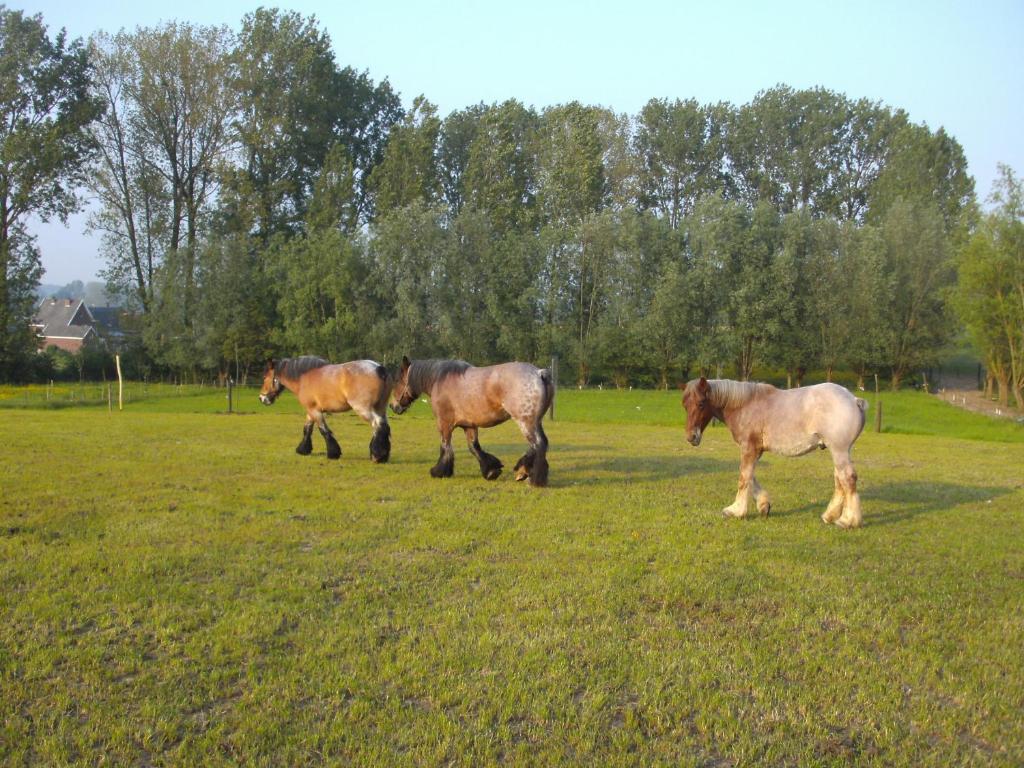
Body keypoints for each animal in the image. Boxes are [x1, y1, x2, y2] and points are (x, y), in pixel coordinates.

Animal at [260, 356, 391, 462]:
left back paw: (377, 455)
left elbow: (324, 430)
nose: (262, 398)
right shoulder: (311, 411)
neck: (303, 378)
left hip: (363, 409)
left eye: (265, 377)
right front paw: (303, 450)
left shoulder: (315, 411)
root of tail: (379, 369)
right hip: (380, 408)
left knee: (377, 424)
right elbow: (307, 429)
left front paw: (333, 453)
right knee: (383, 426)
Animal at [389, 360, 552, 487]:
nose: (392, 406)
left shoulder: (444, 425)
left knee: (537, 445)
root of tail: (538, 373)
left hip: (525, 422)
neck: (439, 380)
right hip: (535, 422)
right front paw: (491, 471)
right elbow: (474, 448)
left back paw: (530, 477)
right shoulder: (469, 426)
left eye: (397, 380)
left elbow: (445, 447)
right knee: (540, 444)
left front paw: (439, 472)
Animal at [684, 378, 868, 528]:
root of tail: (854, 400)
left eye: (701, 403)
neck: (744, 406)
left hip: (839, 450)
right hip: (838, 451)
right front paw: (763, 506)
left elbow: (744, 477)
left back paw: (847, 521)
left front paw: (735, 511)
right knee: (839, 480)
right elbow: (750, 476)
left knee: (848, 478)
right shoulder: (755, 451)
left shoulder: (749, 449)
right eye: (685, 405)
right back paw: (829, 516)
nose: (691, 437)